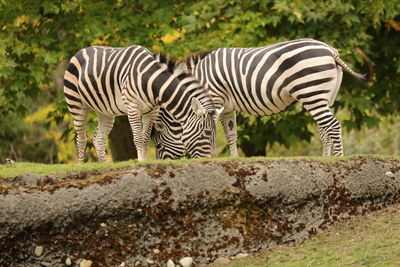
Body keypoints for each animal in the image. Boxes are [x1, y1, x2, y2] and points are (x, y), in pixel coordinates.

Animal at [63, 45, 217, 162]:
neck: (151, 81)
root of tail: (81, 50)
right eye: (207, 132)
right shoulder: (133, 108)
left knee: (98, 140)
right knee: (81, 138)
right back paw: (82, 165)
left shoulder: (151, 111)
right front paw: (141, 162)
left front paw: (144, 161)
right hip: (76, 104)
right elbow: (137, 138)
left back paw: (104, 165)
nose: (209, 160)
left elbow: (144, 139)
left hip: (104, 111)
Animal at [152, 38, 372, 159]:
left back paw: (338, 160)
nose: (163, 162)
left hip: (311, 92)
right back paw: (325, 159)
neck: (199, 80)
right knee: (324, 127)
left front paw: (212, 158)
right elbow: (231, 135)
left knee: (332, 125)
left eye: (158, 143)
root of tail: (332, 52)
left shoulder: (213, 100)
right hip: (322, 96)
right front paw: (233, 160)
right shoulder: (228, 107)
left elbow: (211, 130)